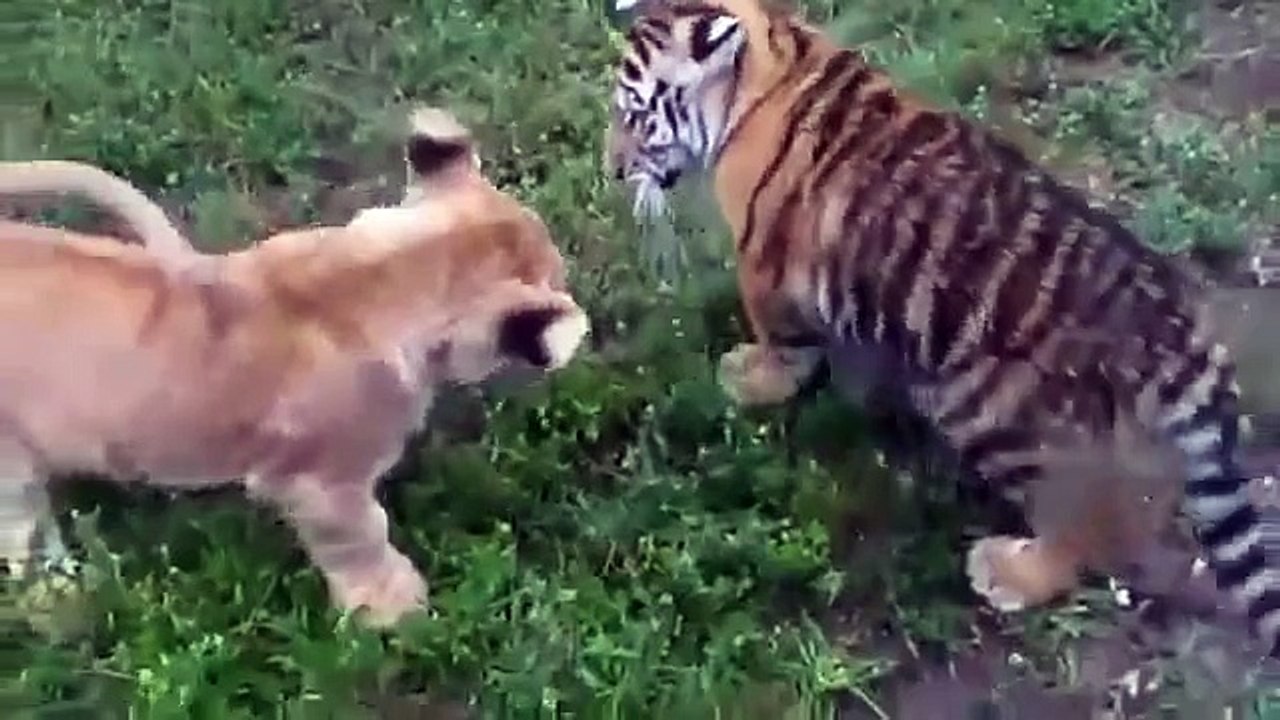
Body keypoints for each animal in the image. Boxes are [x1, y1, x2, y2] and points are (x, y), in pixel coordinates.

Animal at [0, 106, 590, 627]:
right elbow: (361, 538)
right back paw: (60, 600)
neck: (380, 274)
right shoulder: (321, 484)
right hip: (11, 465)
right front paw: (392, 611)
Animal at [603, 0, 1280, 663]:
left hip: (993, 415)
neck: (773, 64)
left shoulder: (764, 267)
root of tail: (1177, 332)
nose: (612, 170)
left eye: (635, 114)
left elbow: (783, 343)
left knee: (1080, 529)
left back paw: (1008, 571)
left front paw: (753, 378)